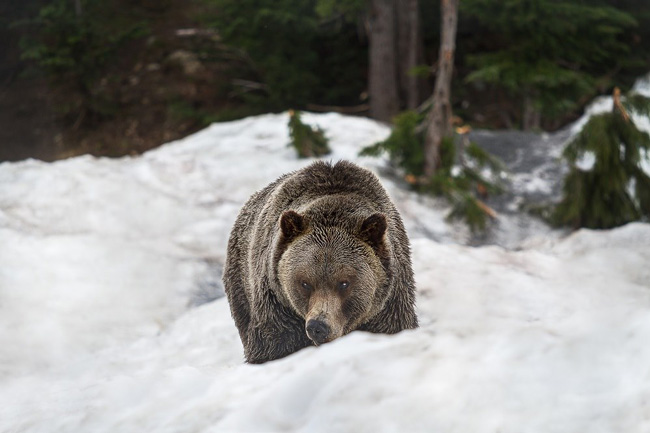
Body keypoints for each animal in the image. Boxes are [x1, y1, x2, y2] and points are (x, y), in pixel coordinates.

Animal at [221, 159, 416, 362]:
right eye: (305, 283)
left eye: (344, 283)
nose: (318, 327)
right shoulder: (278, 305)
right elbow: (272, 346)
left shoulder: (389, 303)